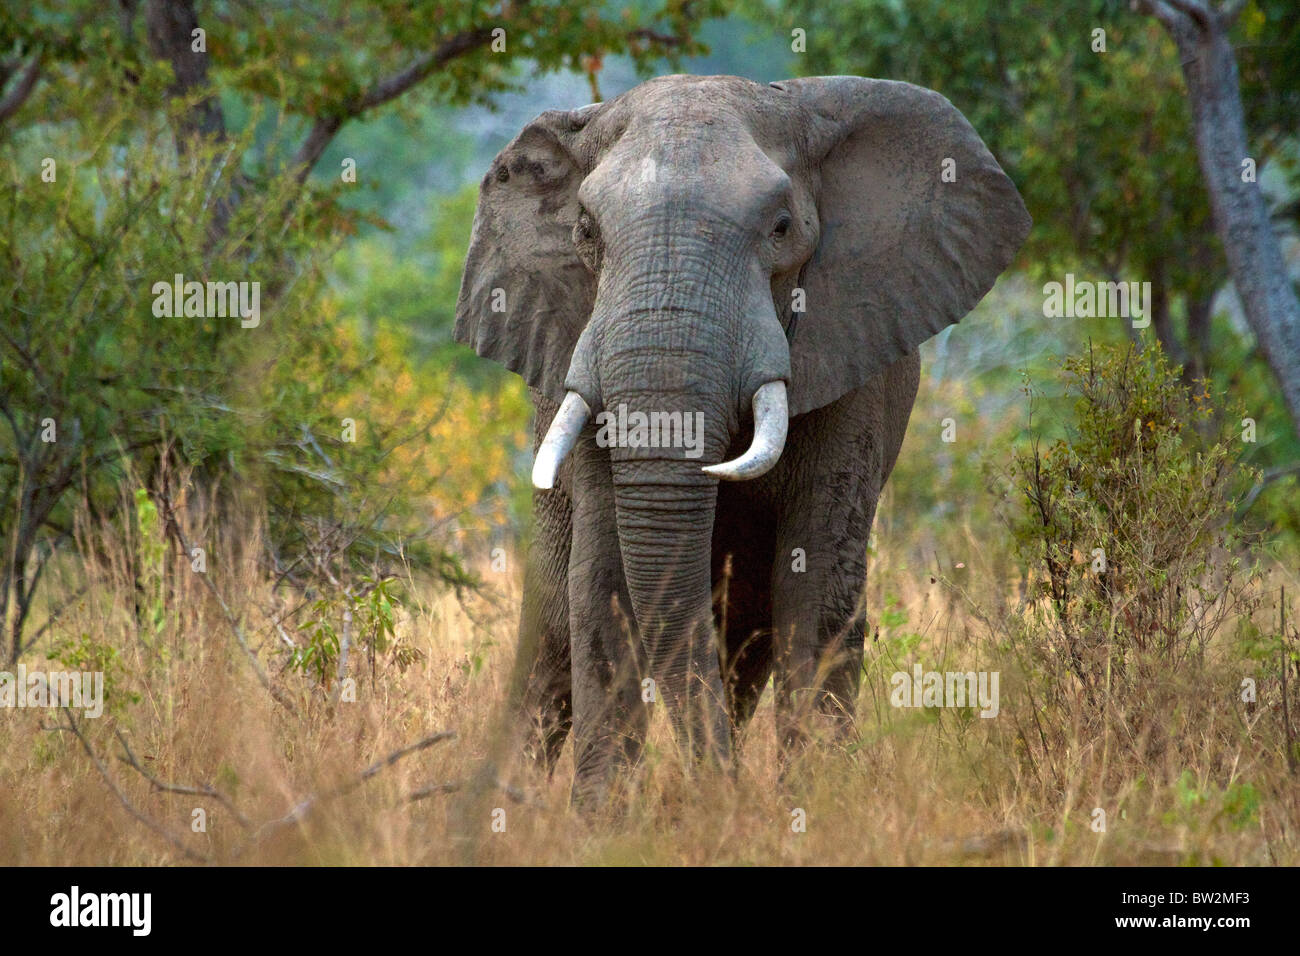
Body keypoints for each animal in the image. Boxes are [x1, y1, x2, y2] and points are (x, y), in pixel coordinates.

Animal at [452, 76, 1029, 806]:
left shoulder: (853, 355)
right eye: (585, 230)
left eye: (781, 228)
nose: (714, 790)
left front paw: (811, 805)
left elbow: (817, 589)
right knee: (552, 636)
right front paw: (607, 818)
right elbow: (602, 586)